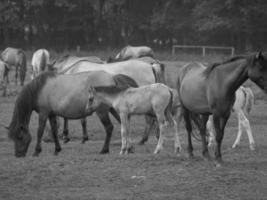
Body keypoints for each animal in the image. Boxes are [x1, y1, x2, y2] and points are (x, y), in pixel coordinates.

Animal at [7, 70, 138, 156]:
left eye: (19, 137)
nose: (18, 155)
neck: (39, 89)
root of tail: (112, 77)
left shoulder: (43, 113)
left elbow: (40, 131)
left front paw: (36, 151)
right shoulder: (51, 114)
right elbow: (54, 131)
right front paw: (57, 149)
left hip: (102, 112)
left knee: (109, 128)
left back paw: (104, 150)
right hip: (113, 109)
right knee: (124, 125)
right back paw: (130, 148)